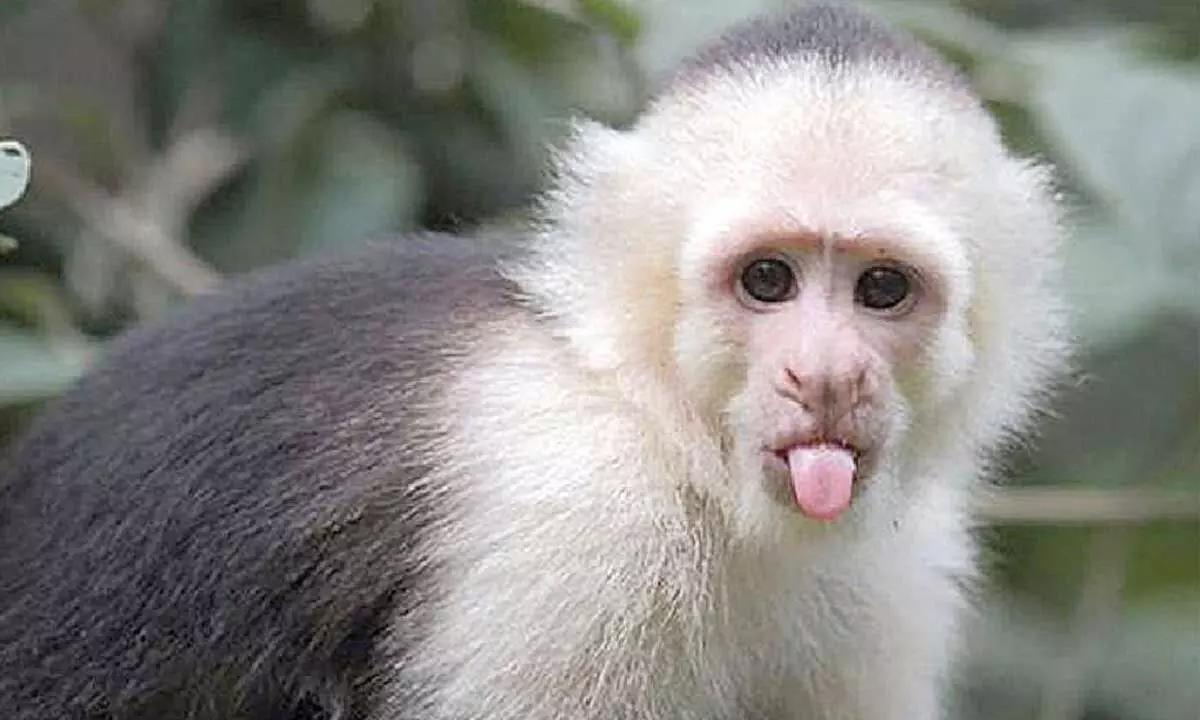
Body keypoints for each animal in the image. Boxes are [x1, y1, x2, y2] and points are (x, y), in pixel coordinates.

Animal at [0, 3, 1071, 719]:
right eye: (768, 280)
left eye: (881, 290)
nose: (827, 377)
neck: (673, 439)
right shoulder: (582, 532)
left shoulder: (895, 571)